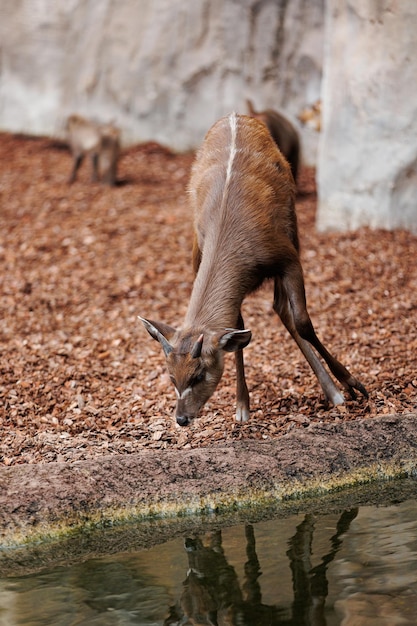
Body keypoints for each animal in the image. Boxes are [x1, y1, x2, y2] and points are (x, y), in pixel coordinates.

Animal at [141, 111, 368, 424]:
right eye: (172, 378)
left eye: (199, 374)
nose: (182, 418)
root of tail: (237, 115)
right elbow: (239, 331)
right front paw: (242, 406)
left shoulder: (287, 257)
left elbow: (303, 321)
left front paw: (353, 385)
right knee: (276, 308)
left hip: (293, 225)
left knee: (283, 307)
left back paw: (334, 392)